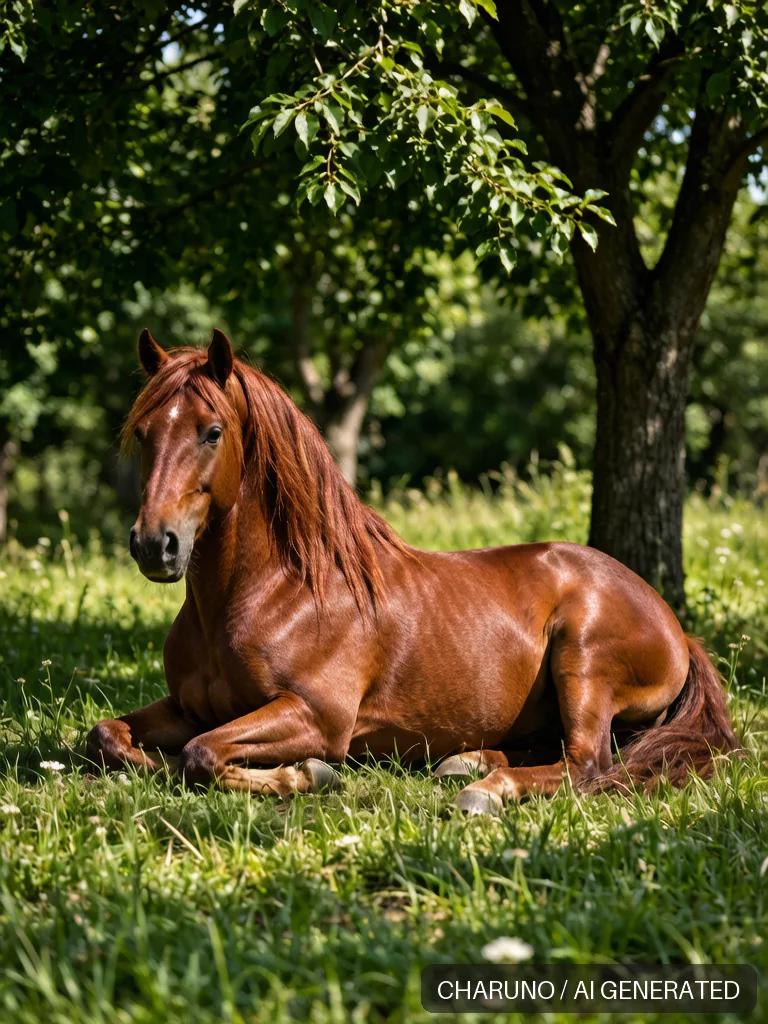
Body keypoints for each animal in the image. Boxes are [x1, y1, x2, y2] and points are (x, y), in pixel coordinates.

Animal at [86, 329, 739, 813]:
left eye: (212, 432)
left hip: (582, 661)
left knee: (587, 765)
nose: (155, 545)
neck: (274, 592)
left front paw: (307, 775)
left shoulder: (317, 716)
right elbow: (107, 737)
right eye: (144, 432)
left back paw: (482, 792)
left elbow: (202, 755)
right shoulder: (188, 707)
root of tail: (675, 626)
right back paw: (465, 762)